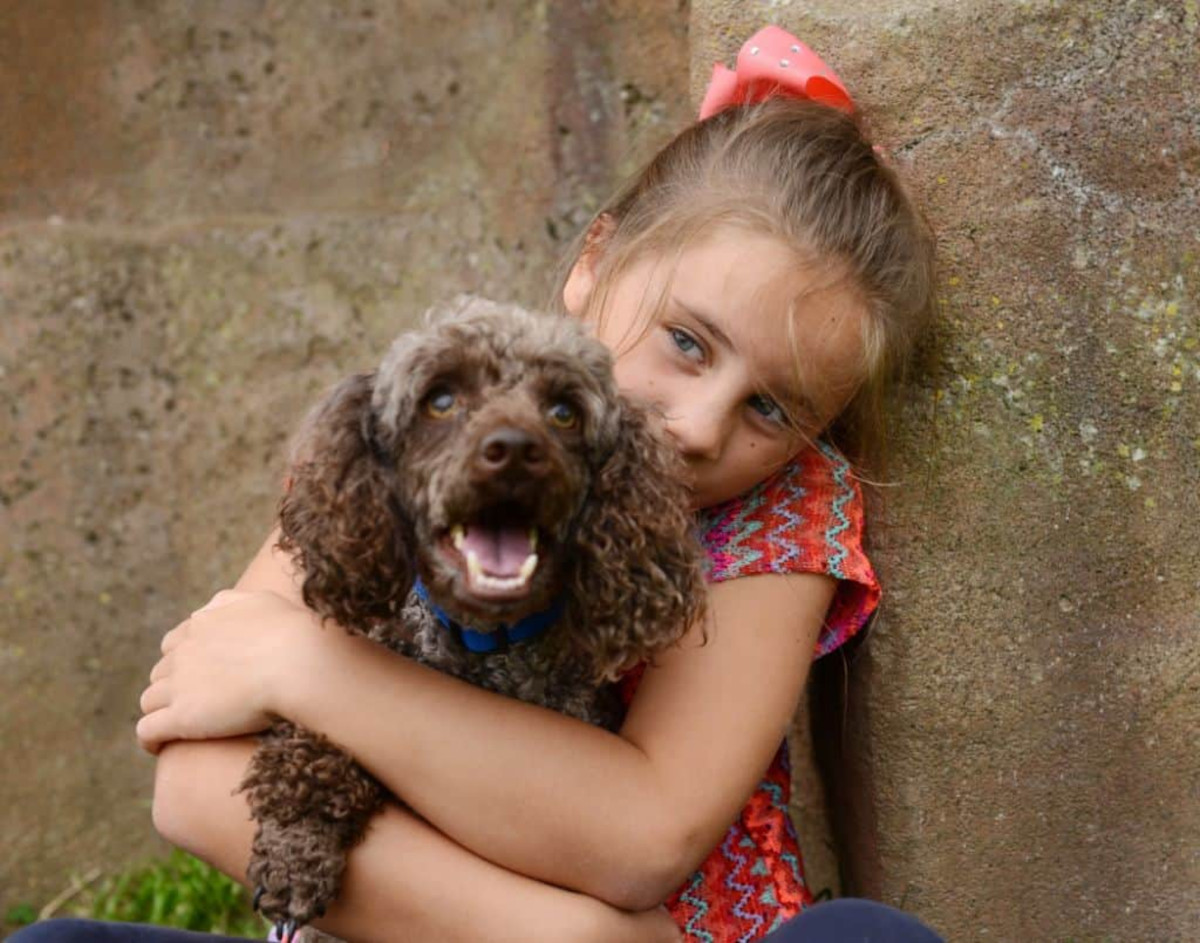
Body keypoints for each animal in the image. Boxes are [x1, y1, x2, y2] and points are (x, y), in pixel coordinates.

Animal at [236, 293, 700, 931]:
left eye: (563, 412)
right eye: (441, 399)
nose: (516, 452)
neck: (482, 644)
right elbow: (308, 754)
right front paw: (295, 853)